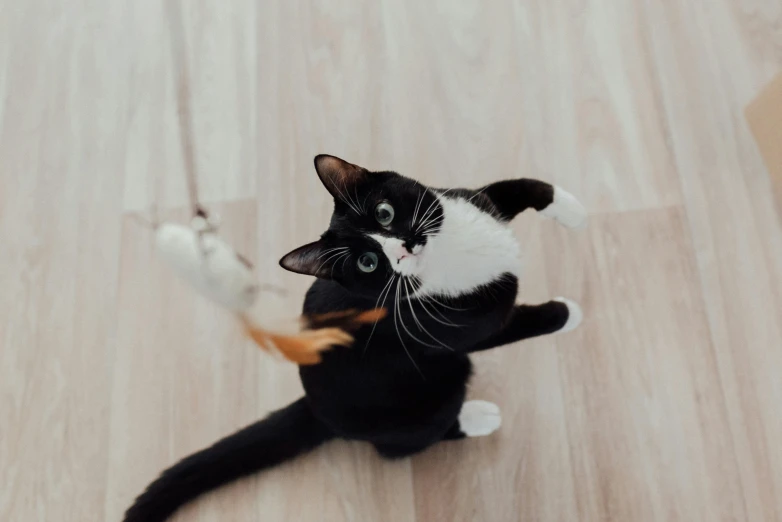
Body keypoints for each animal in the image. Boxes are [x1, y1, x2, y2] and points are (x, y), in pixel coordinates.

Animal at [124, 154, 588, 520]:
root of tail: (314, 406)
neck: (452, 256)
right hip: (424, 399)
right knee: (408, 443)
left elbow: (516, 188)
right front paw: (570, 312)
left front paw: (574, 209)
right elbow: (520, 323)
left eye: (384, 213)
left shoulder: (463, 200)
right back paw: (476, 417)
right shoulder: (459, 329)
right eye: (368, 263)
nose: (404, 246)